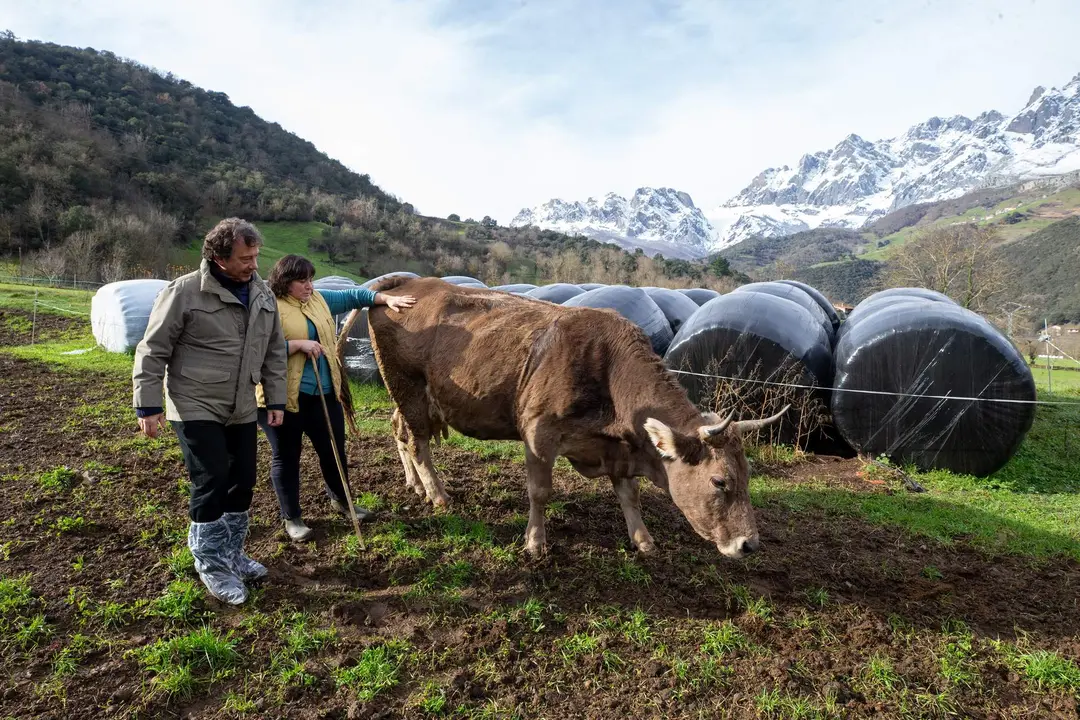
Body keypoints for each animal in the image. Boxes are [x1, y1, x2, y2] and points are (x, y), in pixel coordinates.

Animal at [362, 276, 786, 557]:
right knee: (416, 442)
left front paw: (643, 540)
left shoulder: (618, 448)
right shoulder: (539, 434)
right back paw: (437, 494)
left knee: (399, 431)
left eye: (747, 475)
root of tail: (412, 283)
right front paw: (535, 542)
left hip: (414, 399)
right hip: (408, 388)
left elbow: (629, 494)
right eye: (719, 481)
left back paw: (415, 486)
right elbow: (539, 491)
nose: (750, 544)